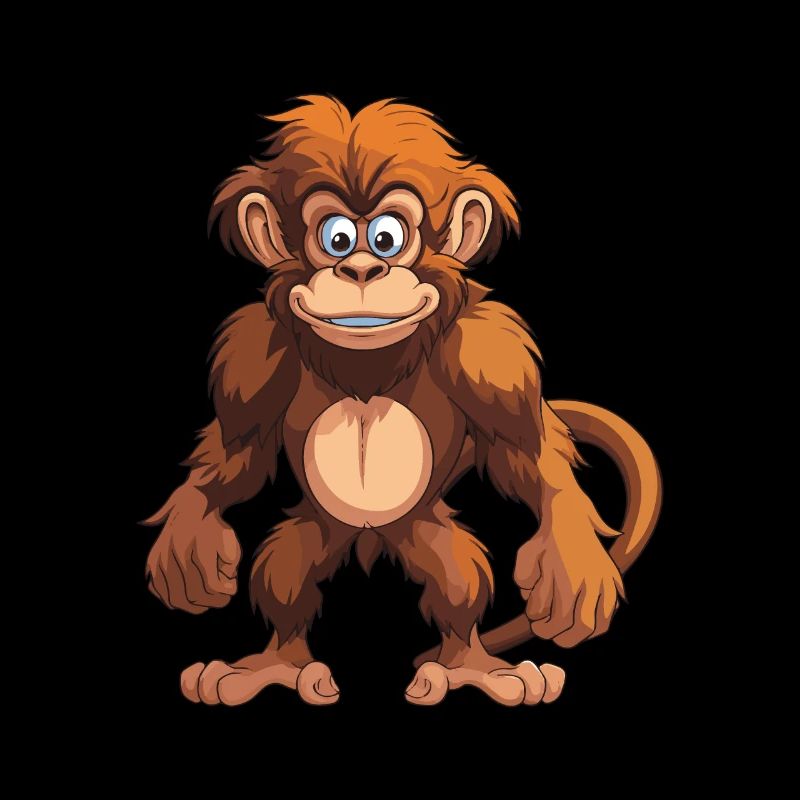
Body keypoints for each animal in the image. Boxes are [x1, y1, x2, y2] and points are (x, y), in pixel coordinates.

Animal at [144, 96, 661, 707]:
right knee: (290, 565)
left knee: (455, 574)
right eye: (337, 237)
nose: (362, 268)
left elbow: (527, 454)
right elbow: (235, 453)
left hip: (419, 525)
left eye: (388, 237)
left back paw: (469, 666)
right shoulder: (252, 356)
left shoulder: (489, 353)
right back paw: (276, 664)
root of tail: (371, 539)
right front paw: (188, 540)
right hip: (327, 526)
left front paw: (569, 561)